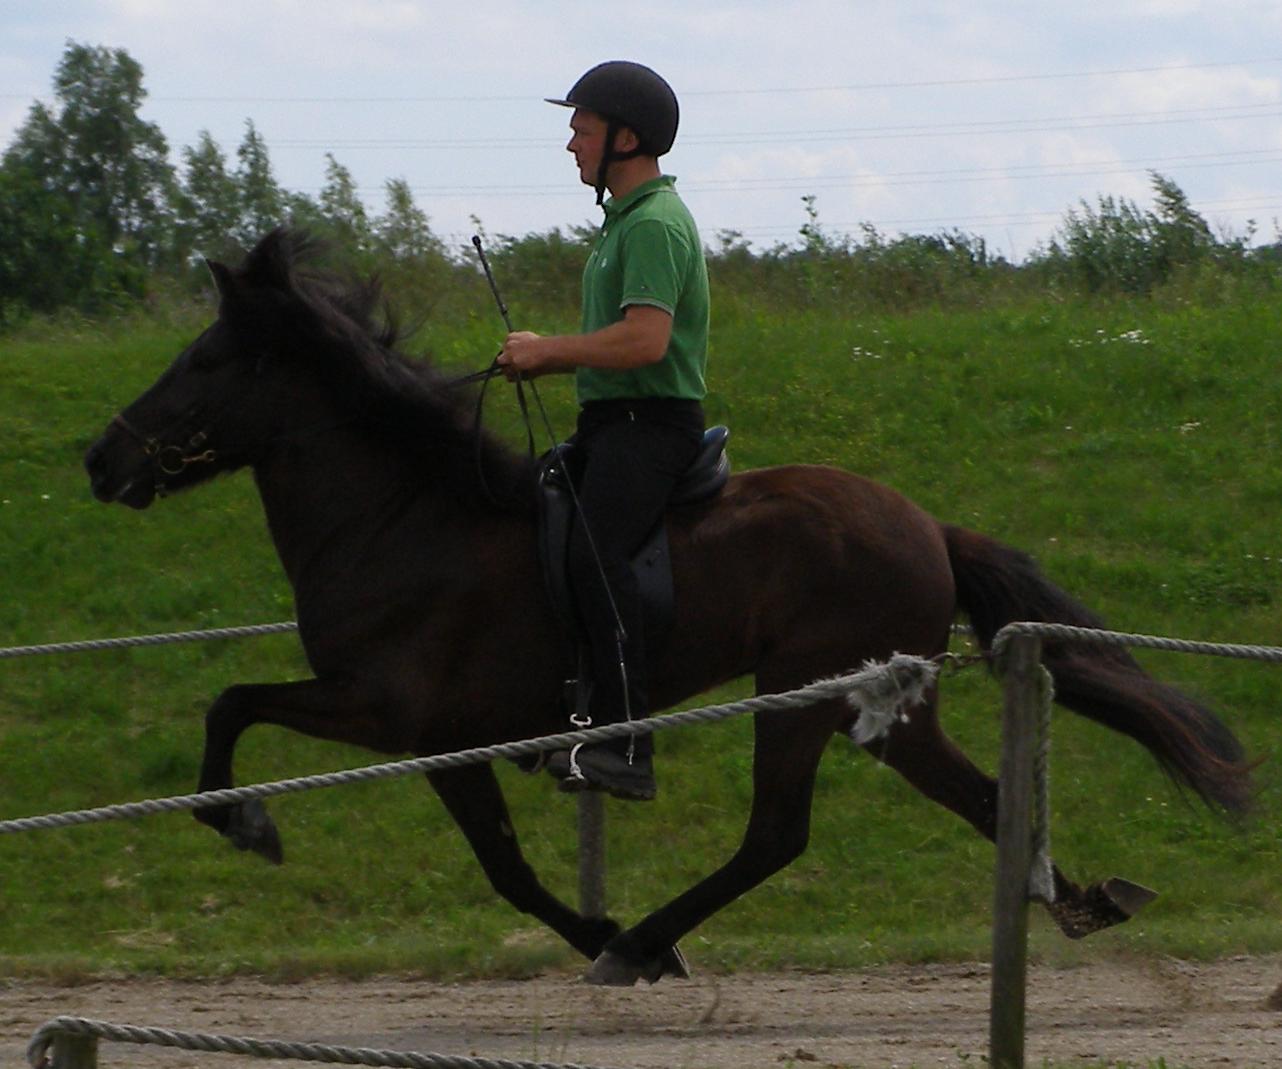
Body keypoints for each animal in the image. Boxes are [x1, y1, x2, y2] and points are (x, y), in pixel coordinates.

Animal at [85, 230, 1246, 984]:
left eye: (203, 360)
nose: (101, 459)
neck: (402, 514)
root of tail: (925, 523)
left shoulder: (397, 717)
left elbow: (244, 708)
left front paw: (244, 820)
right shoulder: (430, 734)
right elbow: (491, 860)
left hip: (803, 691)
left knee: (775, 834)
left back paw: (643, 942)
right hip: (883, 707)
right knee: (984, 796)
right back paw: (1077, 899)